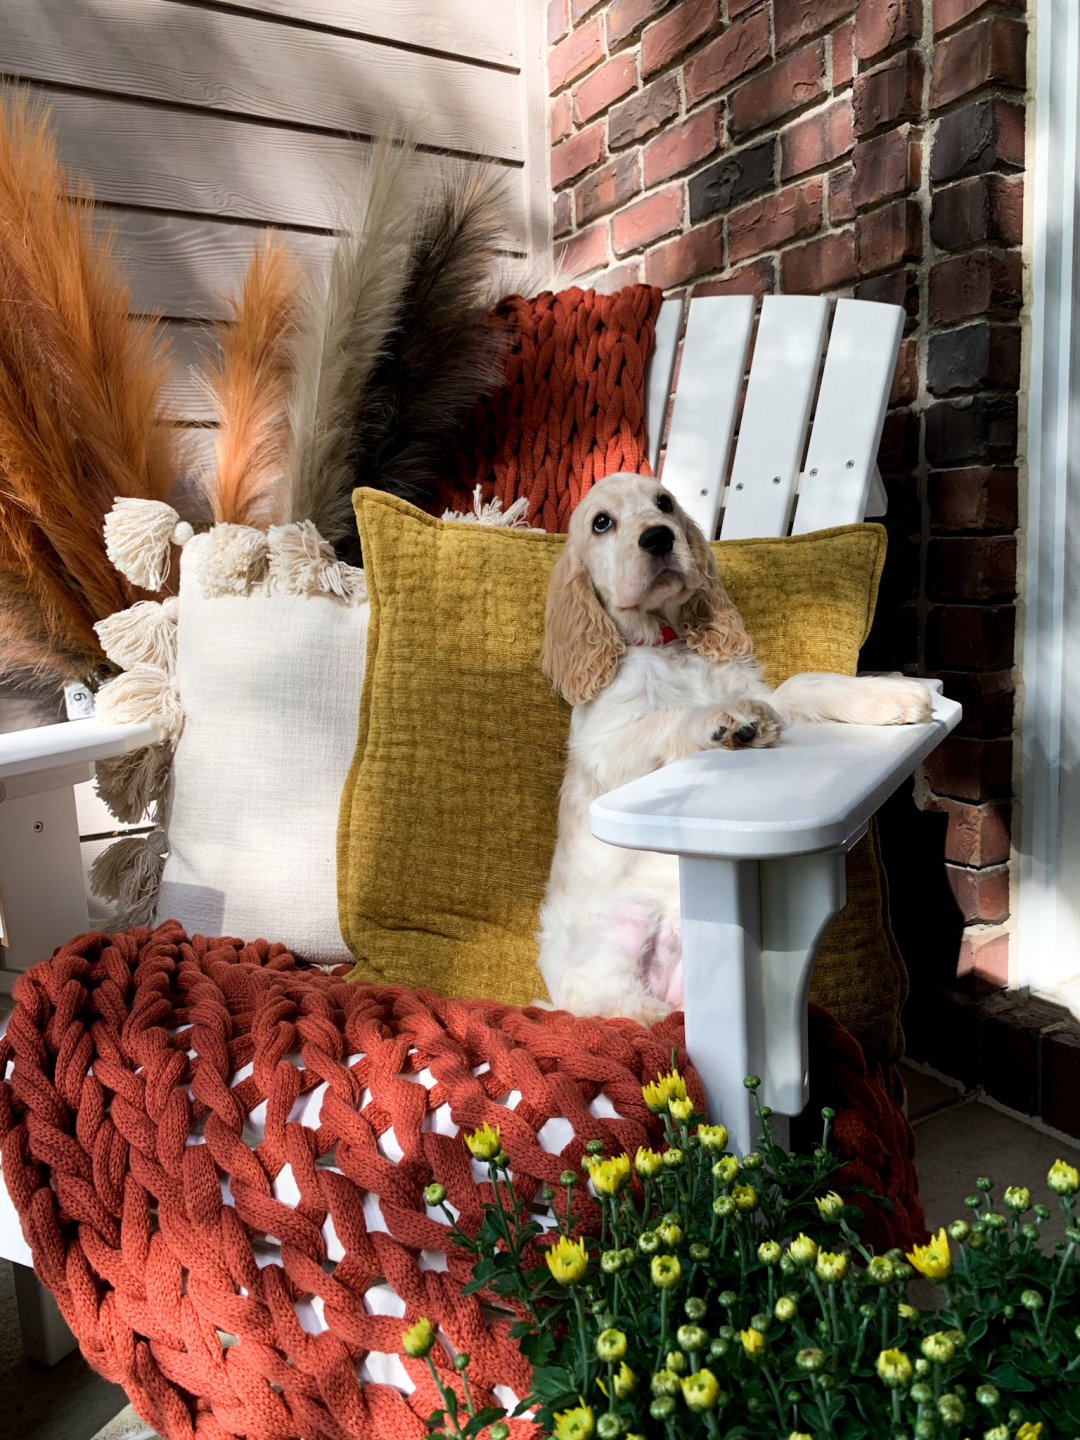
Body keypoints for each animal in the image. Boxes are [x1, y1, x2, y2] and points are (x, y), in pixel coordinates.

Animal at [538, 472, 933, 1025]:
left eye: (664, 503)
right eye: (601, 523)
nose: (658, 538)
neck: (666, 642)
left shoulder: (770, 693)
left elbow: (804, 683)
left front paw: (890, 696)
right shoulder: (606, 748)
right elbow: (666, 719)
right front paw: (727, 722)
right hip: (609, 945)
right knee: (617, 1008)